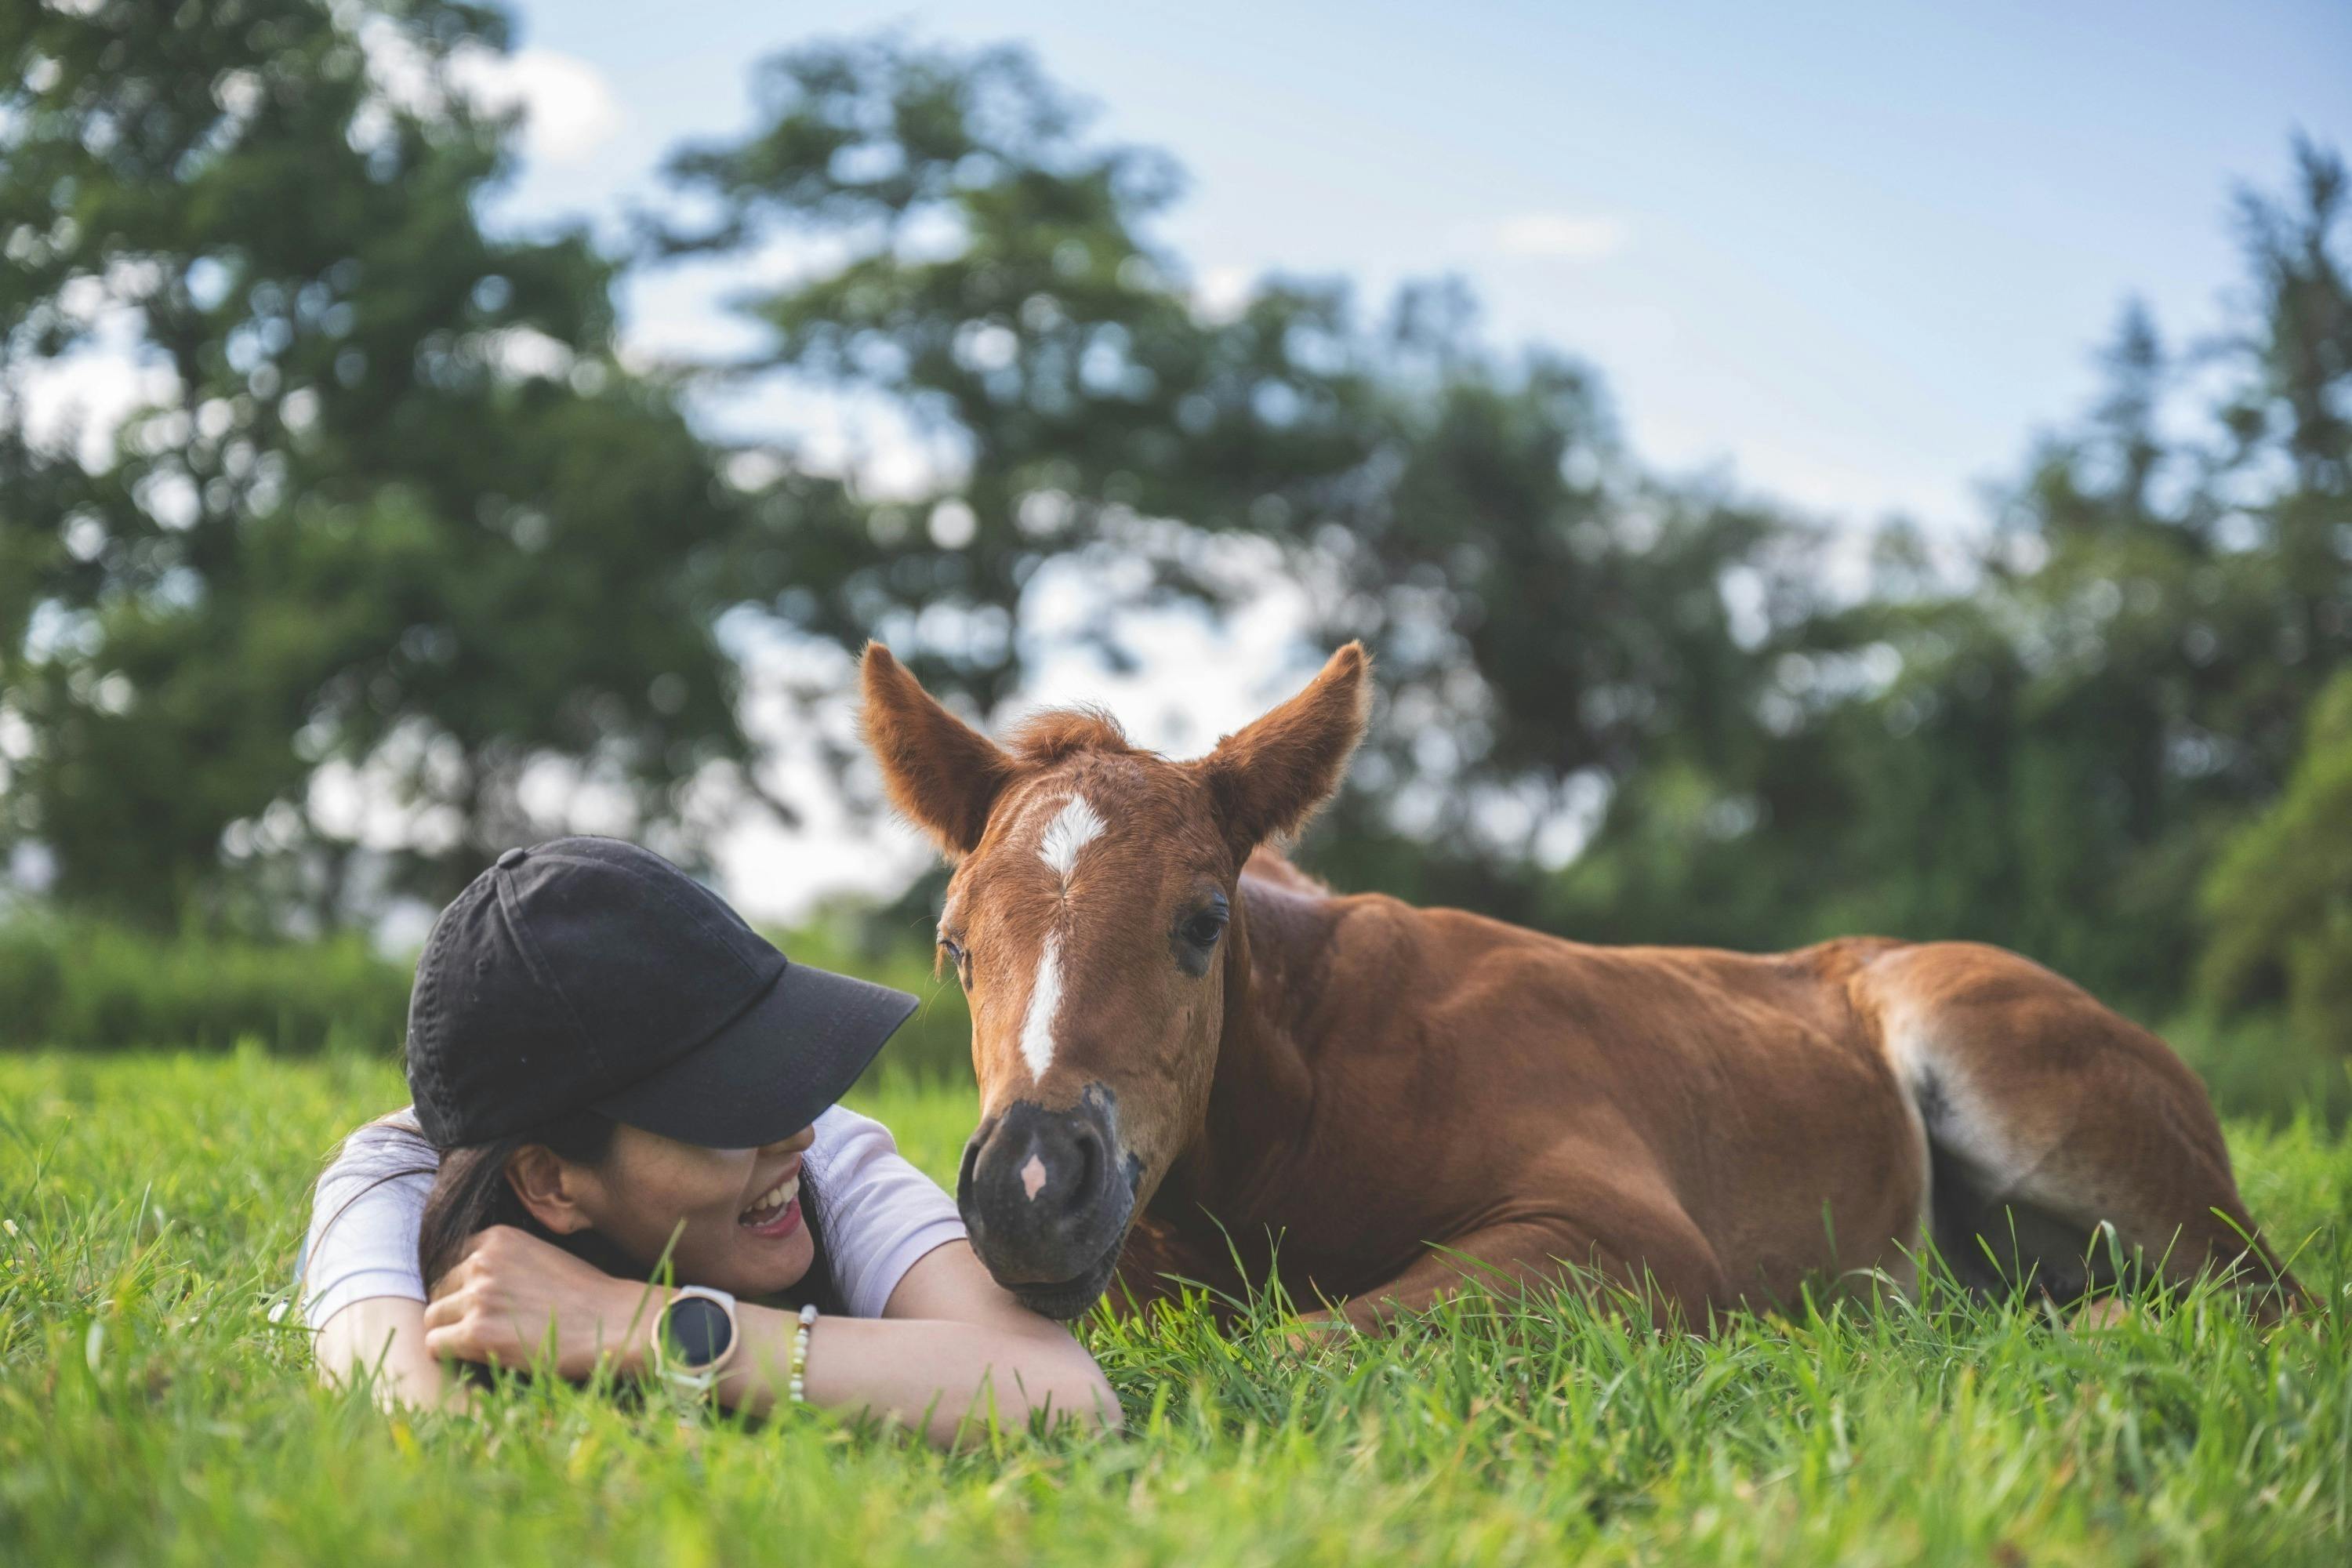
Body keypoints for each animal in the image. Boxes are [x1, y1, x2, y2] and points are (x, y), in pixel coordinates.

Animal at [861, 644, 2296, 1335]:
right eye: (954, 945)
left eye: (1203, 923)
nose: (1032, 1188)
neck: (1312, 1100)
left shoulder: (1630, 1238)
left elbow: (1305, 1344)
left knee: (2262, 1299)